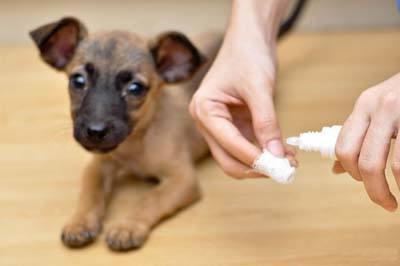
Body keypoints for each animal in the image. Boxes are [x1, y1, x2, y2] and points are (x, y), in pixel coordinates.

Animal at [29, 17, 220, 251]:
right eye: (78, 81)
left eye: (135, 88)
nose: (95, 131)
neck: (135, 142)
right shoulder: (98, 166)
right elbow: (89, 193)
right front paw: (80, 221)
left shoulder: (181, 179)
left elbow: (150, 198)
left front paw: (127, 226)